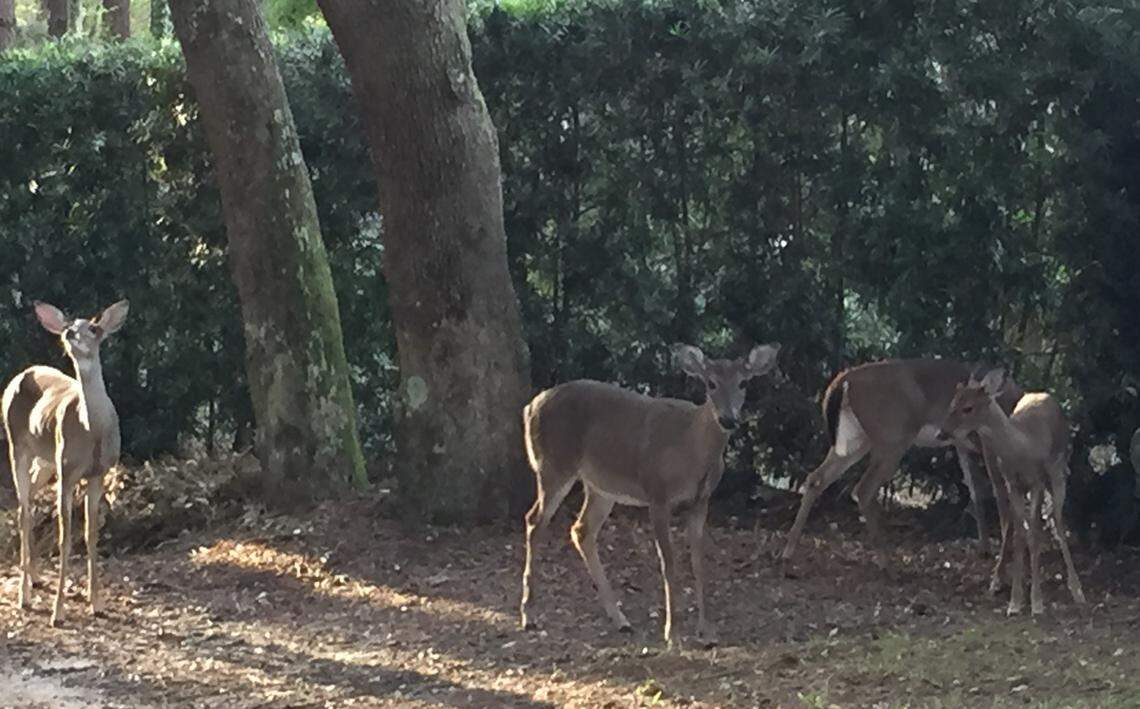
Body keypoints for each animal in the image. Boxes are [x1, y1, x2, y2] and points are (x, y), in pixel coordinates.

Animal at [3, 300, 129, 627]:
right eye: (68, 327)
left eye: (95, 328)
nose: (70, 334)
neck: (92, 429)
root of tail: (20, 375)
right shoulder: (68, 471)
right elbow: (65, 539)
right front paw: (58, 612)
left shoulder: (98, 473)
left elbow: (91, 534)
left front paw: (96, 603)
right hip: (17, 445)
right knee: (23, 508)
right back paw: (24, 595)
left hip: (46, 459)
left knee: (28, 503)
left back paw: (34, 578)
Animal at [519, 342, 780, 646]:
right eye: (710, 383)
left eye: (743, 383)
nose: (728, 419)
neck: (693, 449)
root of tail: (530, 406)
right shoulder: (657, 494)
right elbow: (669, 563)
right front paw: (672, 633)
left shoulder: (701, 501)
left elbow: (699, 563)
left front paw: (707, 631)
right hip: (554, 465)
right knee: (535, 521)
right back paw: (529, 614)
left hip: (602, 485)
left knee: (581, 529)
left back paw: (620, 619)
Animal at [780, 359, 1024, 587]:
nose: (942, 431)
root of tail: (842, 381)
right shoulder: (988, 446)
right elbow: (1002, 500)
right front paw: (999, 575)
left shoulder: (962, 445)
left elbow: (976, 491)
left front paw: (986, 551)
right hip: (893, 437)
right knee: (863, 489)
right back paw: (888, 567)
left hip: (857, 439)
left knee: (816, 478)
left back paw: (788, 555)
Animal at [939, 368, 1086, 615]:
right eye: (952, 403)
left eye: (968, 407)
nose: (942, 432)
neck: (1020, 448)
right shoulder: (1013, 484)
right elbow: (1019, 536)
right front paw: (1015, 602)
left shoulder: (1036, 481)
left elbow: (1034, 534)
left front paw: (1037, 603)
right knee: (1019, 524)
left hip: (1058, 469)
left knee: (1057, 519)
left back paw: (1077, 589)